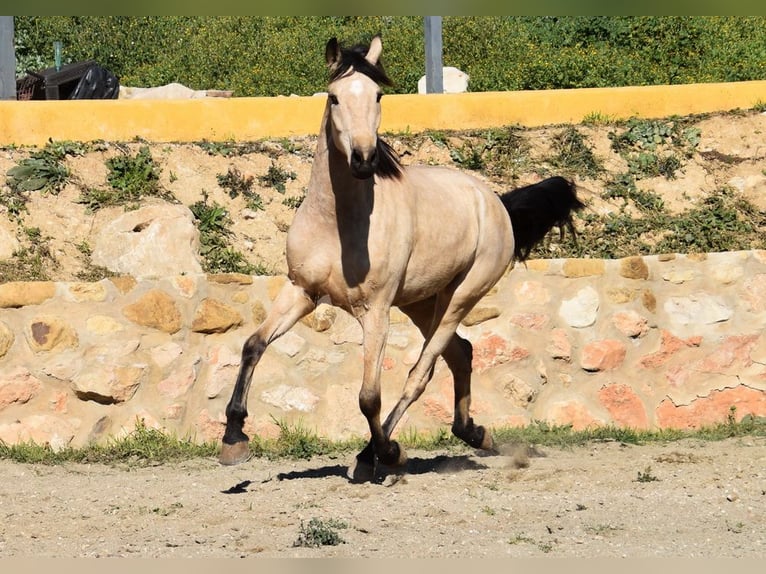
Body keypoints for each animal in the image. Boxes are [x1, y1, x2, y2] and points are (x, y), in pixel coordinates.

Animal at [219, 36, 584, 484]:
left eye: (378, 95)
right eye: (334, 97)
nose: (363, 159)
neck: (337, 224)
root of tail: (495, 202)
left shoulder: (375, 310)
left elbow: (369, 397)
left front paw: (387, 455)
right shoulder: (302, 291)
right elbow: (253, 345)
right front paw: (234, 439)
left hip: (460, 297)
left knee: (421, 374)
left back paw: (378, 455)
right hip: (421, 302)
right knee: (461, 353)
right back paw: (474, 433)